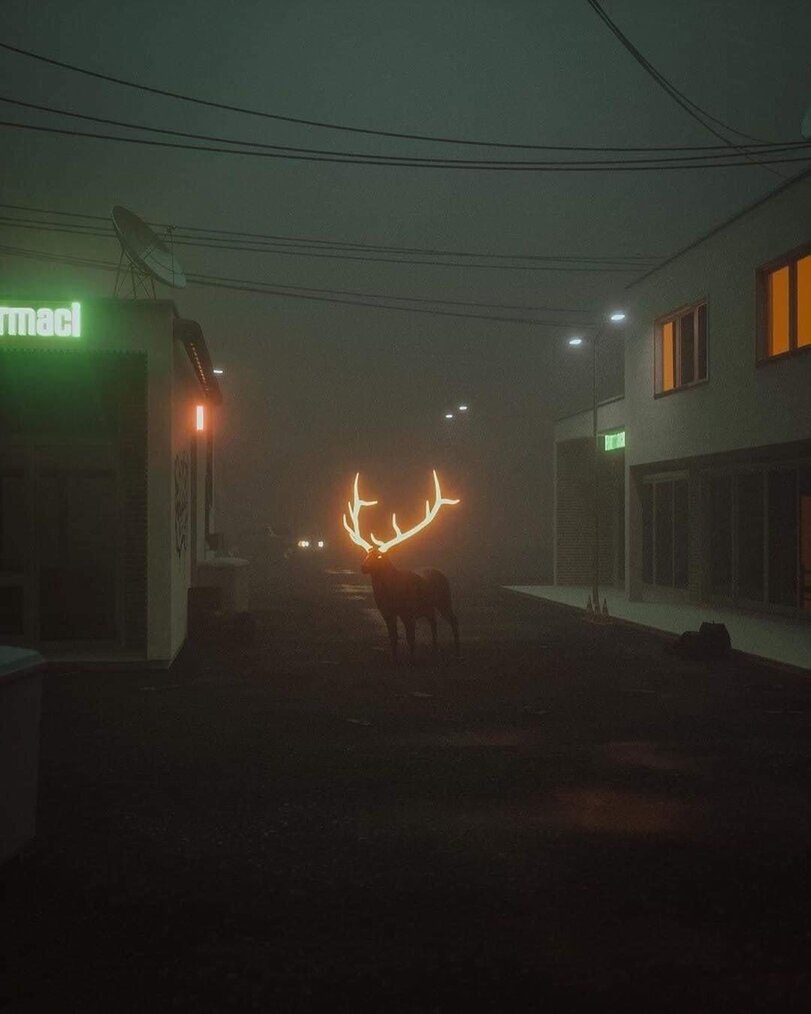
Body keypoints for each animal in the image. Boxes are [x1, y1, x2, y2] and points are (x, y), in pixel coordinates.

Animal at [338, 470, 460, 661]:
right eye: (366, 554)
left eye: (380, 556)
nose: (363, 567)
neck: (390, 594)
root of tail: (440, 572)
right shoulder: (387, 612)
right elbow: (393, 637)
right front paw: (394, 659)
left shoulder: (408, 612)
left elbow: (411, 638)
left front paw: (411, 659)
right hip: (429, 607)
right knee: (433, 622)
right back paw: (434, 649)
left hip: (444, 600)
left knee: (453, 620)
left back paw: (457, 650)